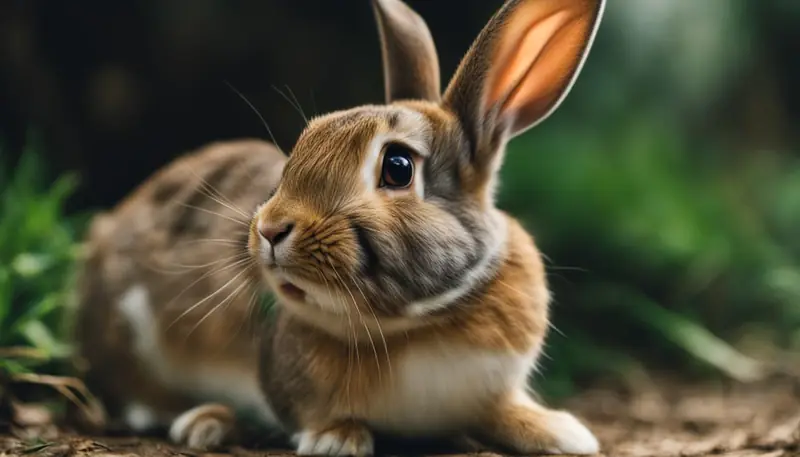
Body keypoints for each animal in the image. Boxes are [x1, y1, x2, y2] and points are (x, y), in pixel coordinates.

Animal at [72, 0, 606, 455]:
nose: (269, 229)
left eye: (398, 167)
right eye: (302, 144)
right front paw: (337, 439)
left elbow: (503, 410)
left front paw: (563, 433)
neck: (416, 325)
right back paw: (203, 421)